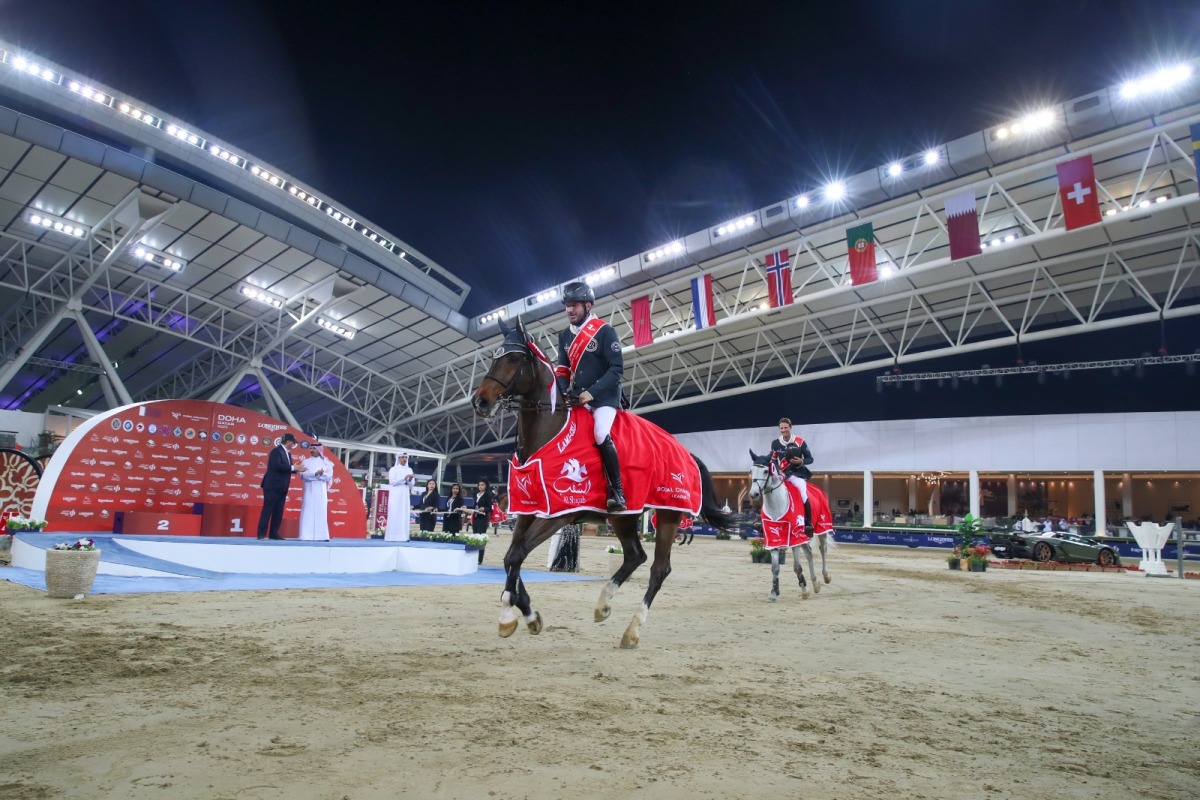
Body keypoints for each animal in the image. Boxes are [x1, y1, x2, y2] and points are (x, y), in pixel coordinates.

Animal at [472, 316, 734, 647]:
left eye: (515, 358)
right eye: (494, 356)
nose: (480, 402)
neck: (548, 434)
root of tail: (686, 452)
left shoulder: (559, 515)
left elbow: (517, 555)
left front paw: (508, 617)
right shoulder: (529, 508)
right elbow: (510, 558)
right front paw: (529, 616)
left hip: (668, 514)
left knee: (659, 569)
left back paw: (633, 629)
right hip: (624, 515)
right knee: (635, 556)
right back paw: (603, 604)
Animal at [748, 450, 835, 599]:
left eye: (765, 471)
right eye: (751, 470)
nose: (753, 494)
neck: (776, 504)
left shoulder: (795, 538)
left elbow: (797, 567)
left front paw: (804, 590)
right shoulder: (773, 536)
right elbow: (775, 568)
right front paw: (774, 592)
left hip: (821, 527)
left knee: (823, 549)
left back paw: (826, 576)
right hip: (804, 536)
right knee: (809, 553)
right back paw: (816, 584)